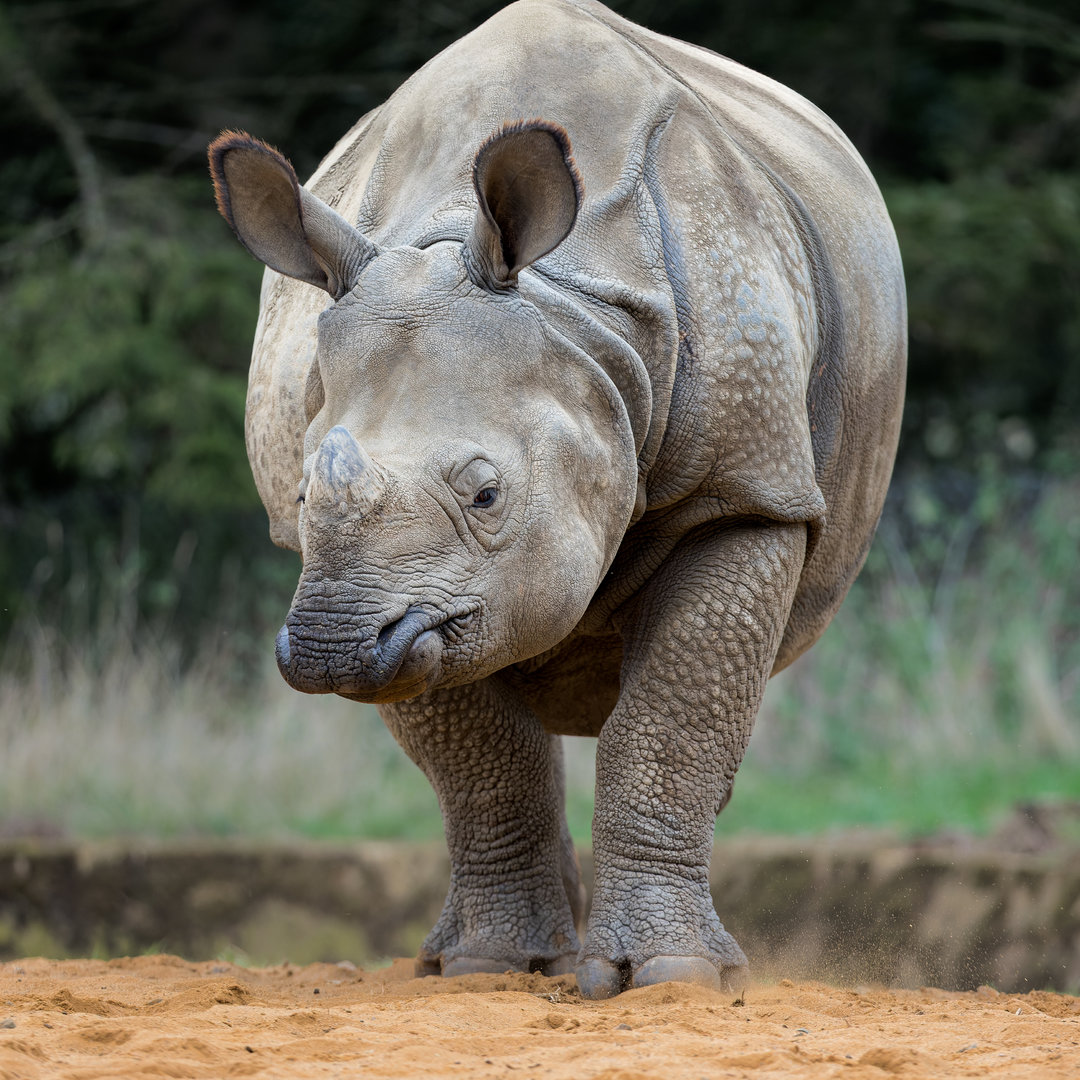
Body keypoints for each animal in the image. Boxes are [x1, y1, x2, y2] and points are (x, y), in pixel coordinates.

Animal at [208, 0, 905, 998]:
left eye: (487, 493)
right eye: (301, 493)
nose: (332, 648)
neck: (578, 319)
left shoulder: (748, 490)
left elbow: (672, 724)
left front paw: (674, 975)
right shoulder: (425, 600)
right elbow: (482, 761)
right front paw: (491, 966)